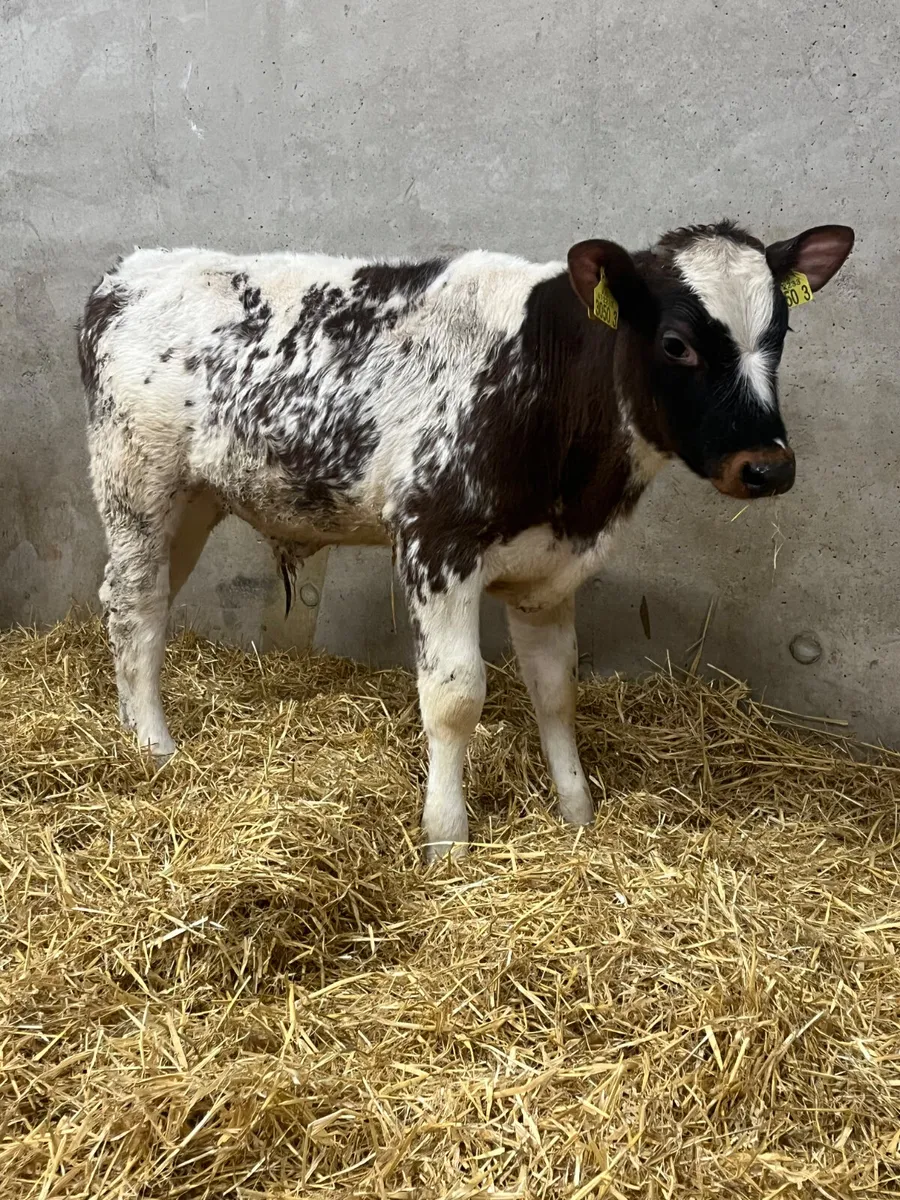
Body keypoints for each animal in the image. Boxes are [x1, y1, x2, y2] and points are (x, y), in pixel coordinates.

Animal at [78, 220, 854, 860]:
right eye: (676, 344)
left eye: (779, 335)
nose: (768, 467)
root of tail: (130, 269)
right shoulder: (435, 541)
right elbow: (455, 696)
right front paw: (446, 839)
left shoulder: (549, 571)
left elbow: (556, 689)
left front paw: (577, 811)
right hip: (138, 484)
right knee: (135, 606)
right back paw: (155, 747)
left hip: (194, 502)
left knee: (140, 603)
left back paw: (131, 726)